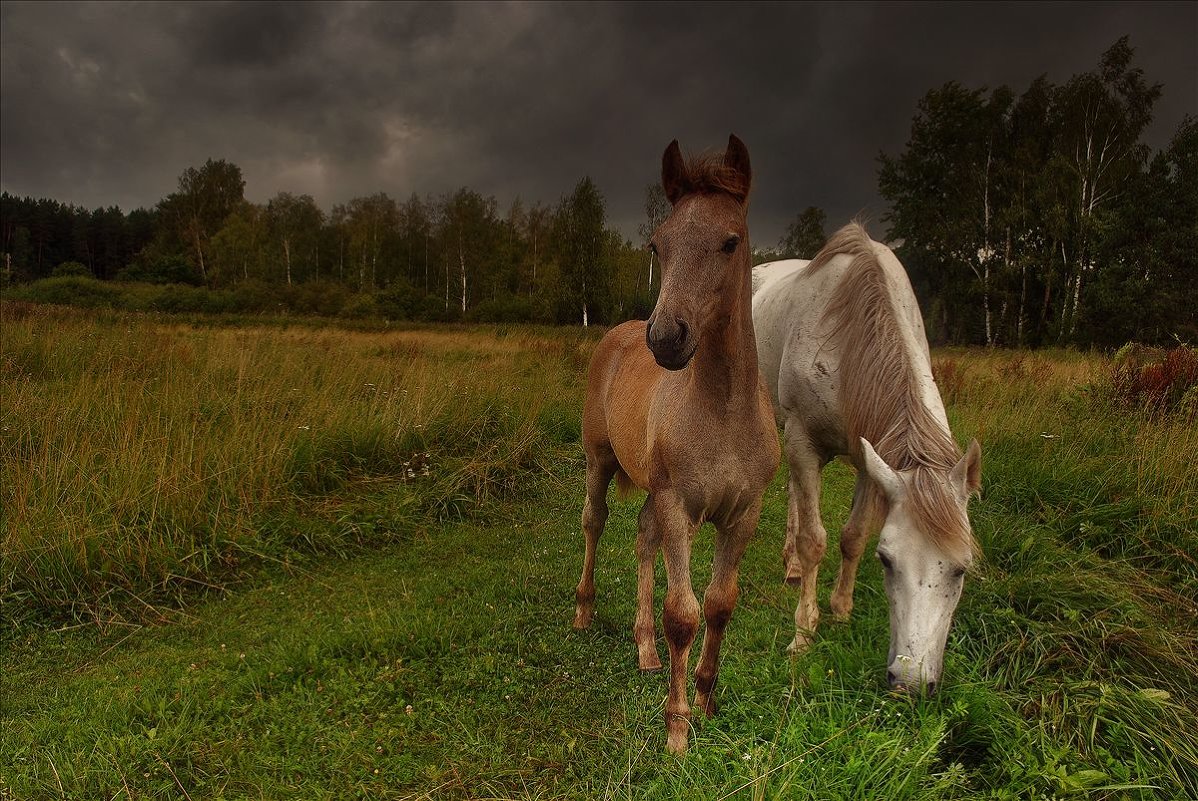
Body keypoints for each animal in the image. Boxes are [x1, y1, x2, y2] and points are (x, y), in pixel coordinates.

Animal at [572, 134, 781, 751]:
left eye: (730, 241)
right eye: (657, 245)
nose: (665, 338)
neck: (723, 413)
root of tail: (616, 334)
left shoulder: (744, 512)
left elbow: (719, 605)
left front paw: (707, 698)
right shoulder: (679, 506)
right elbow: (682, 614)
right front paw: (677, 727)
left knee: (642, 536)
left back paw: (644, 649)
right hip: (599, 461)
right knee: (595, 523)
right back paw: (584, 612)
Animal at [752, 221, 977, 689]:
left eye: (962, 569)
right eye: (887, 560)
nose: (910, 682)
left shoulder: (867, 458)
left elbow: (852, 535)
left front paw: (840, 609)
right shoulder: (803, 440)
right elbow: (814, 540)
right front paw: (803, 632)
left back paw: (791, 566)